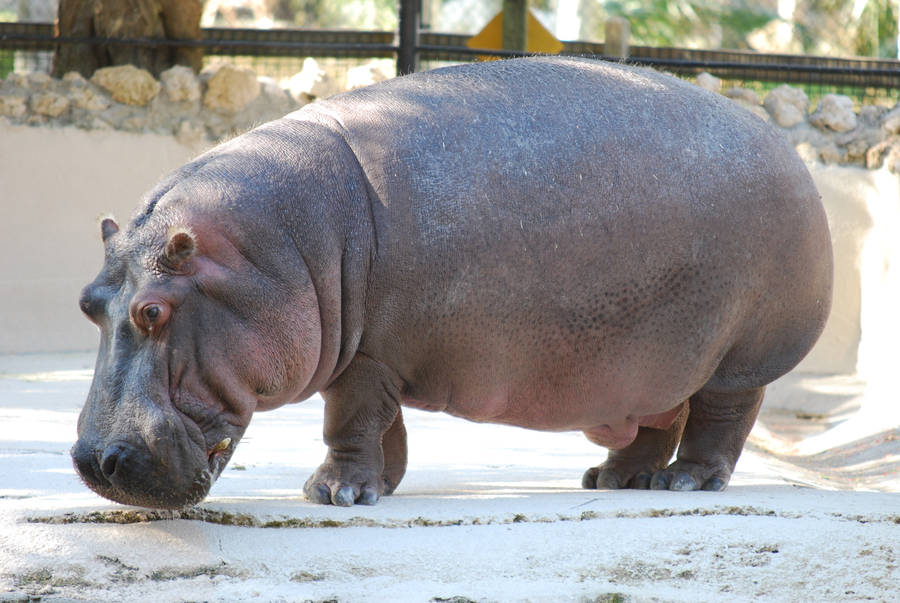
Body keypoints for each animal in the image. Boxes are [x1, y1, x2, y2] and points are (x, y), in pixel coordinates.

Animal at [72, 56, 832, 509]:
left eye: (153, 311)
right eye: (88, 304)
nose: (93, 460)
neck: (275, 246)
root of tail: (791, 154)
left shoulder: (368, 356)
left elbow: (350, 420)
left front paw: (330, 494)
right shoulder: (376, 353)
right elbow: (385, 428)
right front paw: (376, 487)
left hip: (739, 356)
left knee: (721, 419)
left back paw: (684, 482)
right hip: (656, 360)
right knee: (657, 418)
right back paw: (615, 480)